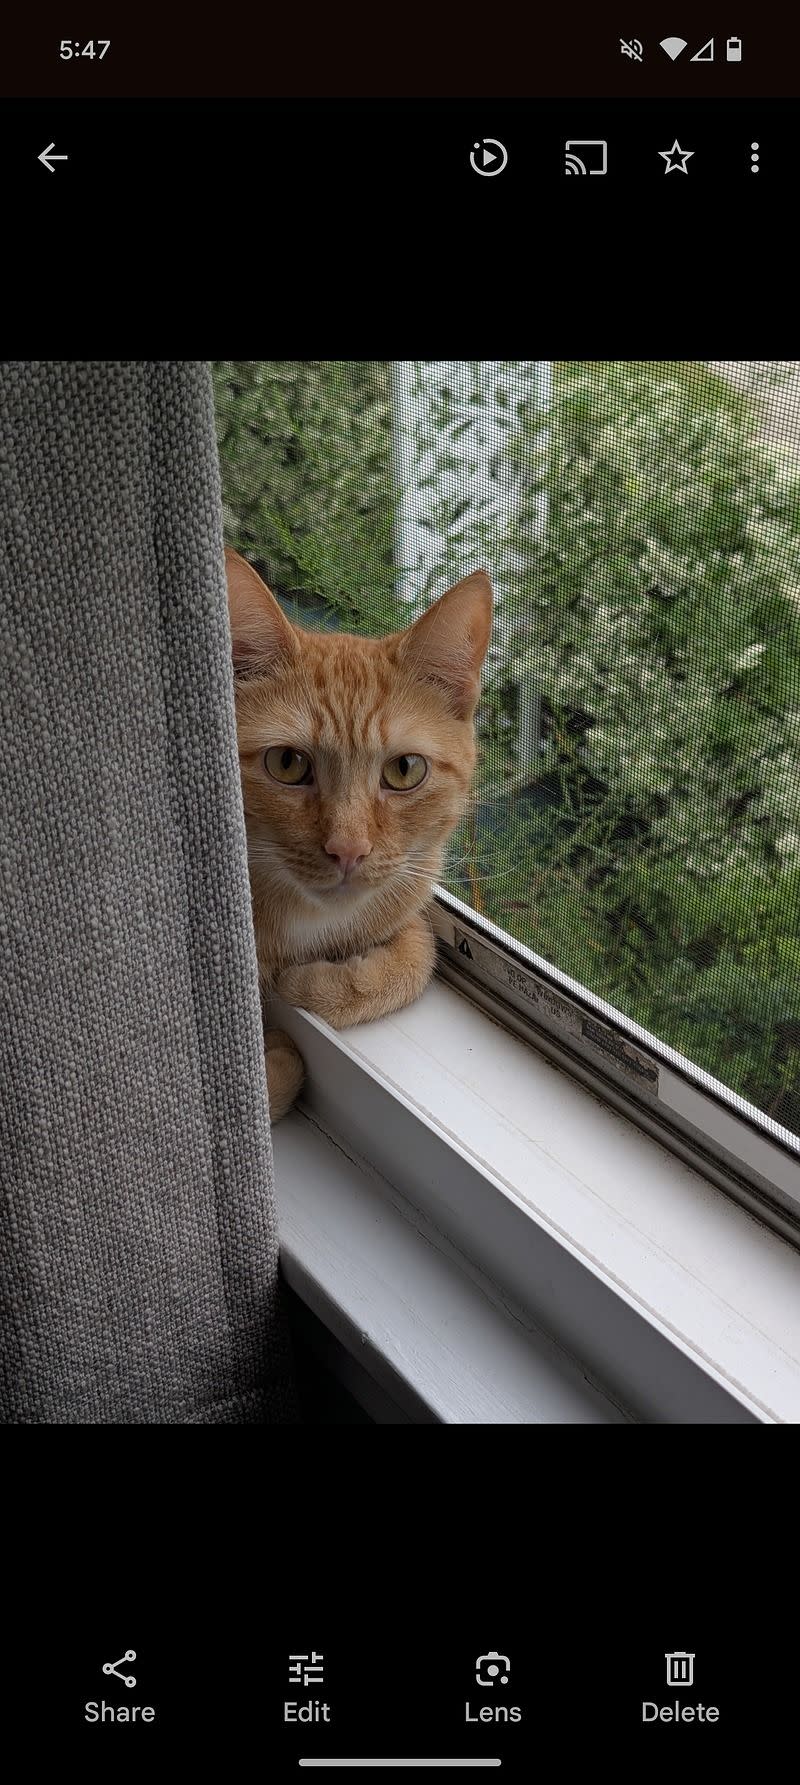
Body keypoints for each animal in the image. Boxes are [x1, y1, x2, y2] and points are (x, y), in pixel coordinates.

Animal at [221, 549, 489, 1120]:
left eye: (405, 770)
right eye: (287, 763)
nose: (348, 850)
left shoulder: (411, 894)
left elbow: (419, 957)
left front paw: (310, 986)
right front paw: (275, 1055)